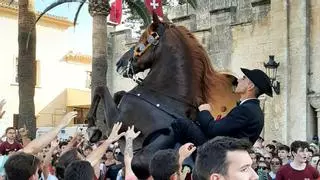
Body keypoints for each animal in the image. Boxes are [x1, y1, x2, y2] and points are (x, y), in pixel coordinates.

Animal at [86, 14, 239, 175]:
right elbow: (117, 93)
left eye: (142, 41)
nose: (119, 63)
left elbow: (101, 88)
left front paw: (92, 128)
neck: (163, 97)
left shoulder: (117, 121)